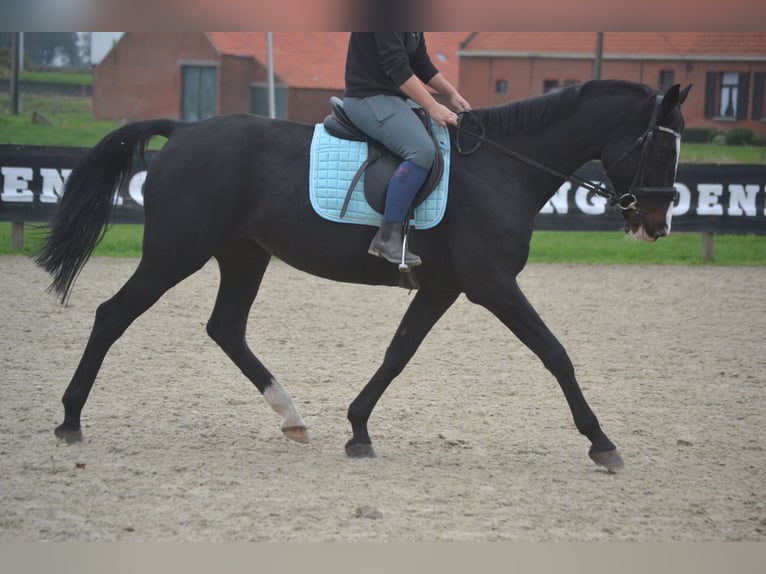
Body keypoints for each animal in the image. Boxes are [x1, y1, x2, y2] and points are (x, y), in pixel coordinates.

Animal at [39, 79, 692, 472]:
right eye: (663, 149)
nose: (657, 225)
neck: (503, 168)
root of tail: (185, 131)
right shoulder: (493, 287)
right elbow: (556, 354)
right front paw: (601, 442)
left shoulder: (442, 288)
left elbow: (397, 354)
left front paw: (357, 430)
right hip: (176, 254)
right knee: (112, 315)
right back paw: (70, 419)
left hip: (244, 255)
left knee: (225, 328)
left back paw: (292, 417)